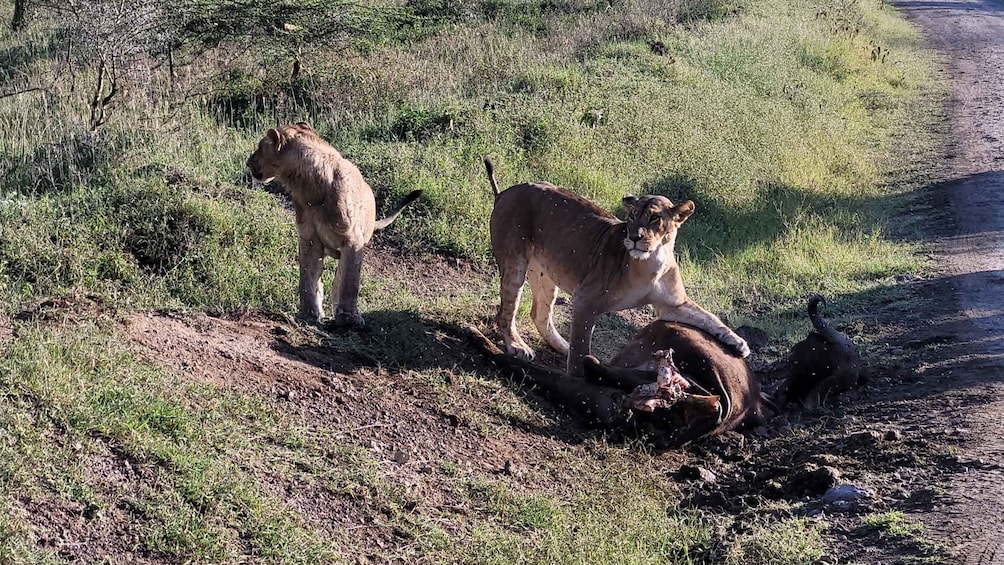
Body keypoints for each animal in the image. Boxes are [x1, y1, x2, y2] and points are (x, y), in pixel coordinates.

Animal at [250, 122, 423, 327]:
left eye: (260, 147)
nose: (248, 162)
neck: (309, 186)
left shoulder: (353, 241)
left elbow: (349, 281)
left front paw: (348, 317)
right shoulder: (309, 238)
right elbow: (307, 279)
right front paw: (308, 315)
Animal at [481, 159, 750, 377]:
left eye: (654, 218)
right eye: (631, 216)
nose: (634, 237)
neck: (652, 263)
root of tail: (506, 192)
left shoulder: (672, 305)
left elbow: (708, 317)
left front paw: (738, 342)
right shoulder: (585, 299)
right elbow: (581, 347)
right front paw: (578, 379)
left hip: (545, 274)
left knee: (540, 314)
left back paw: (562, 346)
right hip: (515, 264)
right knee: (505, 313)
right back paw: (517, 346)